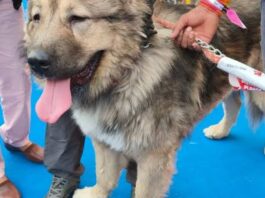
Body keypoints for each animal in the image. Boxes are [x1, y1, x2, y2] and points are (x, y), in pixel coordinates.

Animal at [24, 0, 262, 197]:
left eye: (77, 18)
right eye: (37, 18)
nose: (35, 62)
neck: (127, 70)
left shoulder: (153, 157)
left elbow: (142, 190)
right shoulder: (103, 138)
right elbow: (105, 175)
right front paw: (96, 193)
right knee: (234, 102)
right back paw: (220, 130)